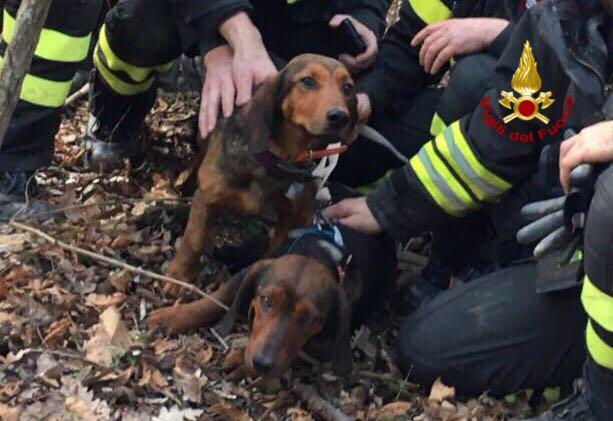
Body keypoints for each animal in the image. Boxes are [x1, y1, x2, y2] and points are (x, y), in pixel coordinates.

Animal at [163, 54, 358, 294]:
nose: (340, 117)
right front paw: (179, 276)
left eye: (348, 87)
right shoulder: (207, 197)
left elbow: (275, 250)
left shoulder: (290, 217)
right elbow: (194, 239)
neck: (278, 161)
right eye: (308, 81)